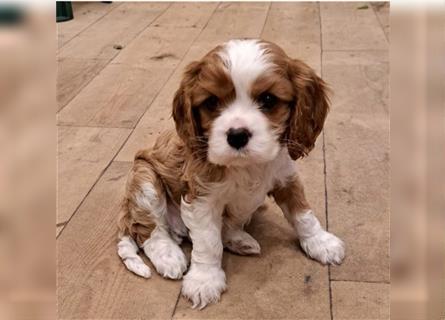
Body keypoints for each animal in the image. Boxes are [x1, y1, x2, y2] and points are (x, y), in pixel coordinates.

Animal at [117, 38, 344, 308]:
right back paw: (169, 256)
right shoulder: (201, 197)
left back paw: (239, 240)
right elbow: (208, 241)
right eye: (212, 102)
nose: (237, 135)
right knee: (149, 231)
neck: (245, 166)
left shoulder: (286, 177)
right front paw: (204, 280)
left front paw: (321, 242)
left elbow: (302, 213)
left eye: (268, 99)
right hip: (144, 180)